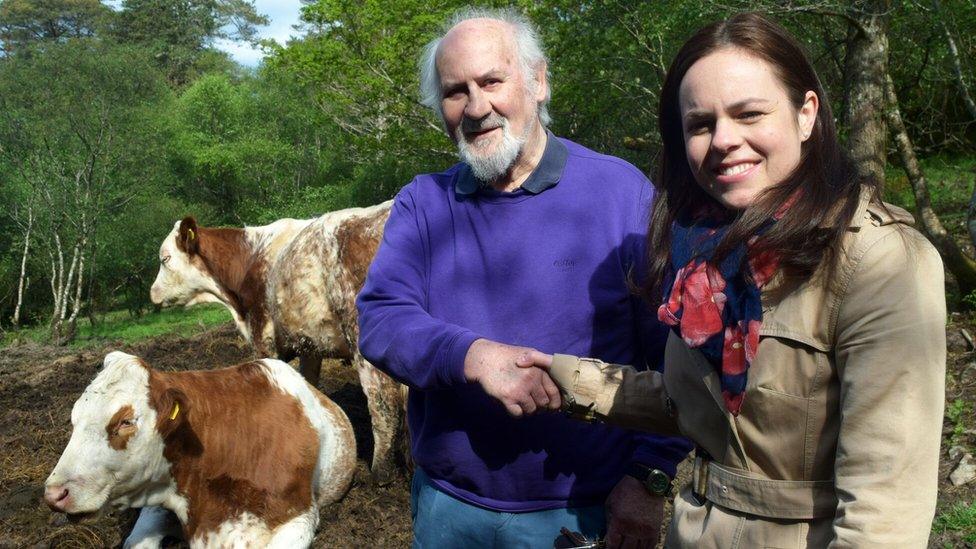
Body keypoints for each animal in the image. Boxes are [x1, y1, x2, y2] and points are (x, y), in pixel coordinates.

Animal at [146, 200, 404, 480]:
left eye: (165, 259)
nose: (152, 293)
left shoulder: (263, 337)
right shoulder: (309, 343)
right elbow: (307, 385)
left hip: (361, 337)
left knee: (382, 400)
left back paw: (380, 474)